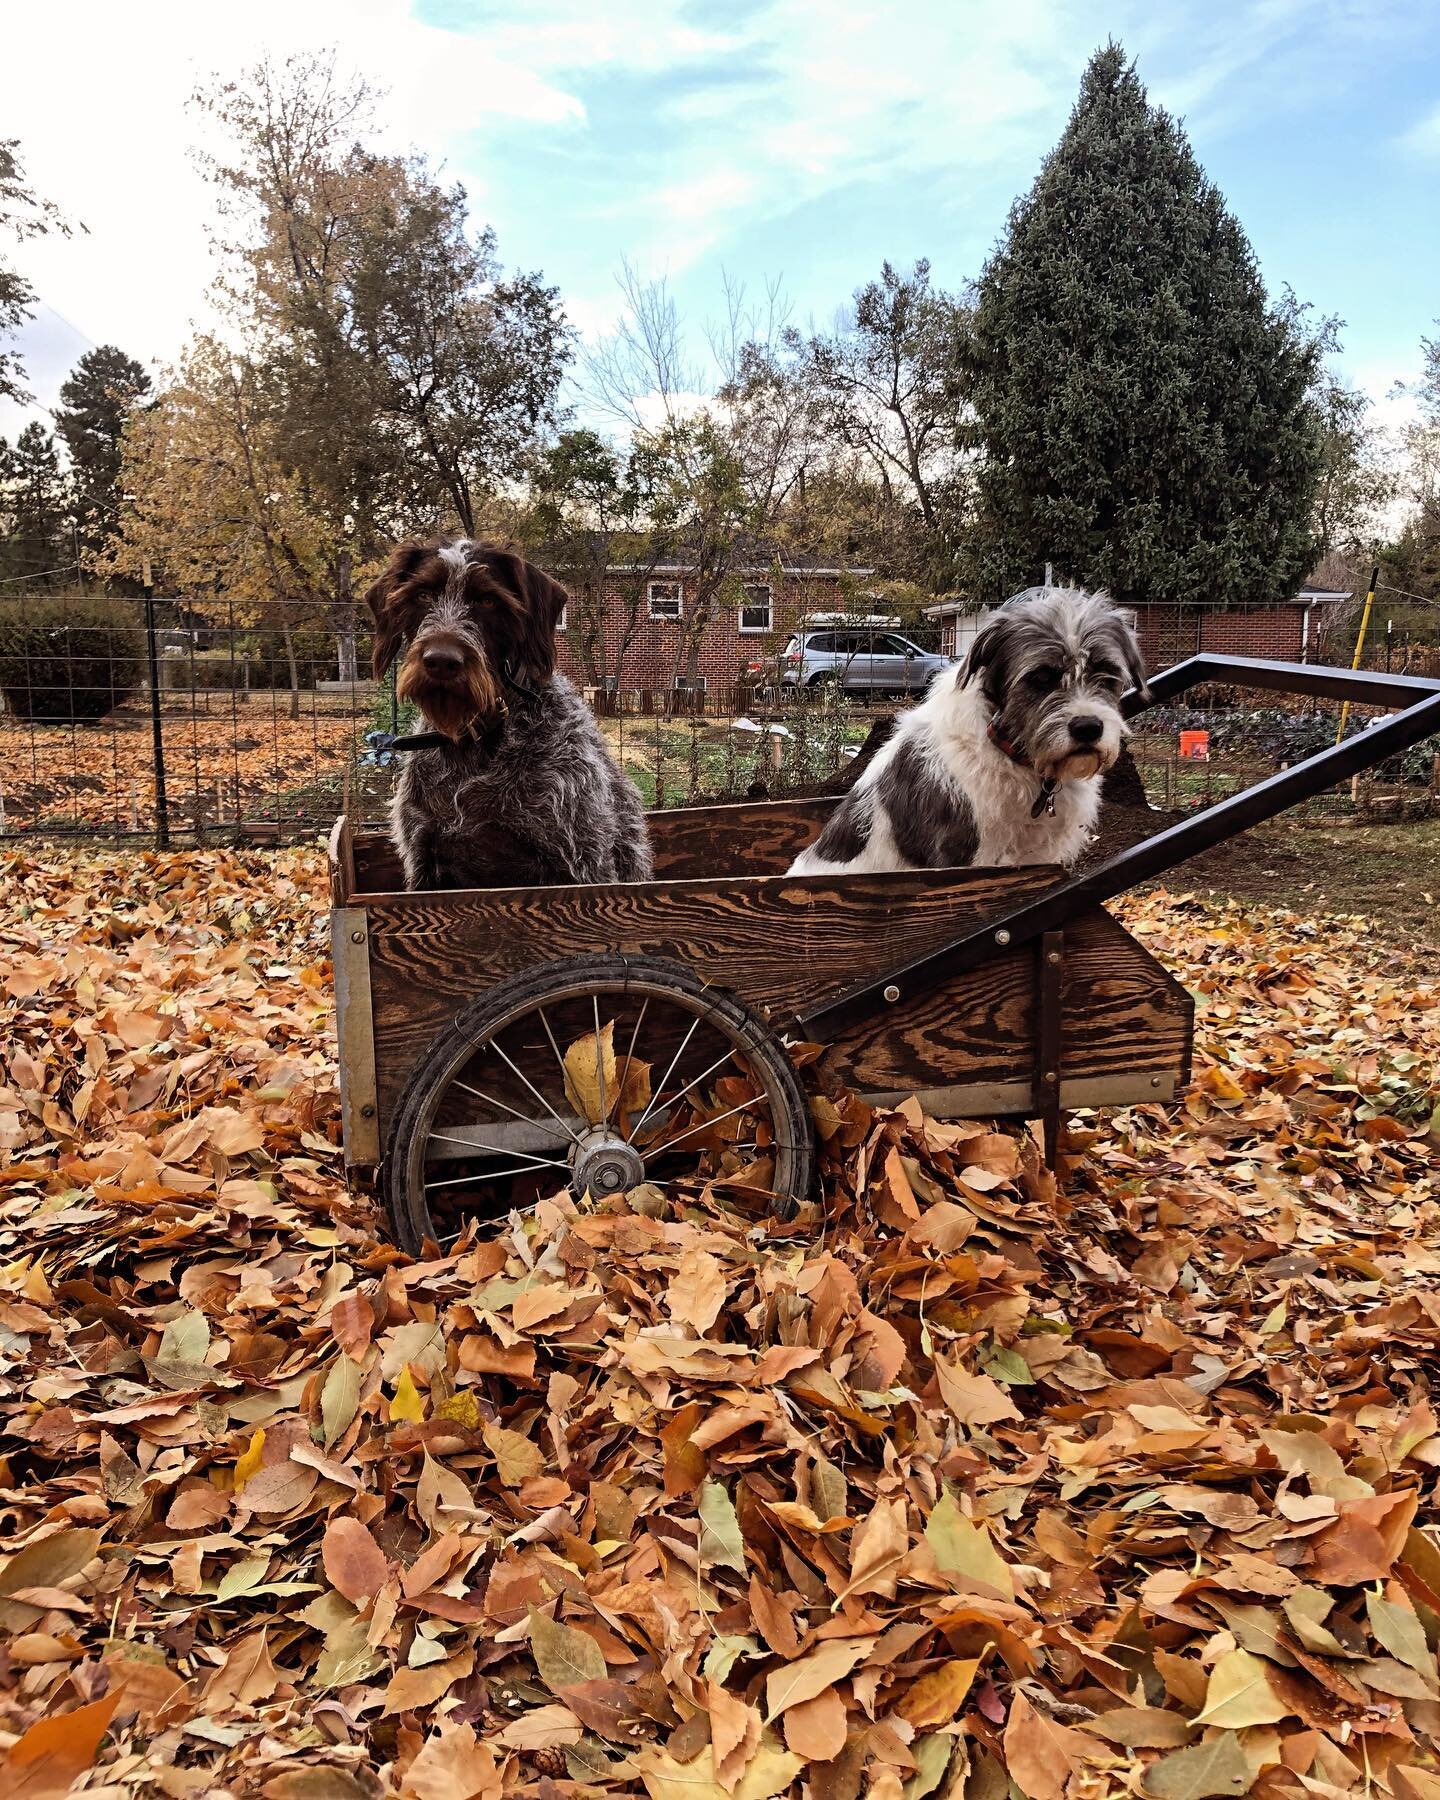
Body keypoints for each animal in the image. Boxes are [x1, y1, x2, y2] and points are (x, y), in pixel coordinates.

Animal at [365, 536, 651, 896]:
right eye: (422, 595)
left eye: (488, 601)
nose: (442, 661)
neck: (475, 741)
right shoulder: (424, 863)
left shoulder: (581, 865)